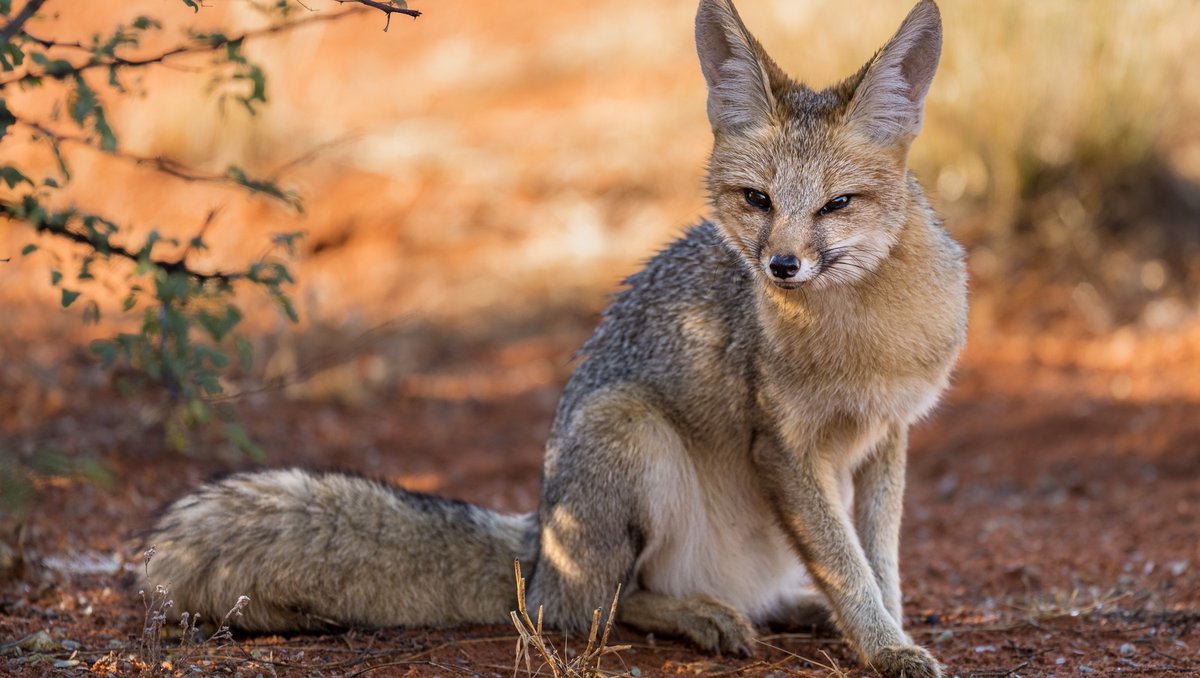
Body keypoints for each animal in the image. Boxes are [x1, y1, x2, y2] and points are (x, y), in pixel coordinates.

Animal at [144, 1, 966, 676]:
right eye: (755, 200)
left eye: (838, 204)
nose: (781, 267)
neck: (864, 337)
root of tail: (537, 541)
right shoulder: (786, 448)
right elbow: (847, 562)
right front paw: (885, 646)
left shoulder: (887, 436)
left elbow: (875, 562)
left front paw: (887, 633)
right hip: (631, 434)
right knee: (591, 607)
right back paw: (699, 614)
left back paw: (792, 605)